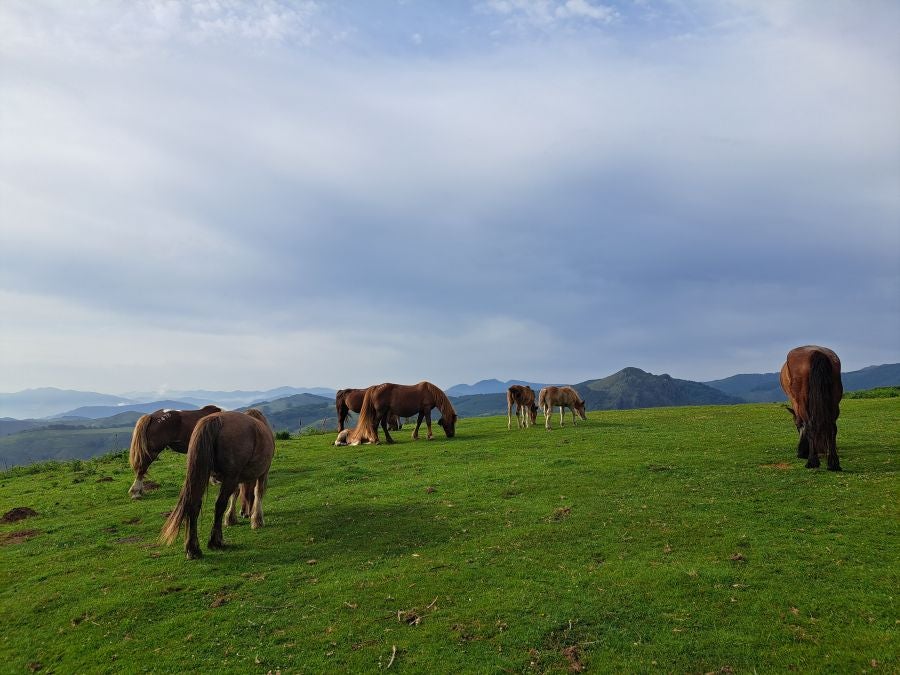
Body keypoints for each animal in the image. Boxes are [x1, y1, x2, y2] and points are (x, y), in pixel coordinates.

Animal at [161, 406, 274, 560]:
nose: (245, 513)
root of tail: (215, 419)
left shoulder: (235, 478)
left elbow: (235, 494)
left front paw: (232, 517)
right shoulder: (262, 473)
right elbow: (258, 492)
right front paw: (257, 519)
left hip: (203, 475)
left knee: (194, 505)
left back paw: (193, 548)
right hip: (230, 477)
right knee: (219, 504)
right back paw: (216, 541)